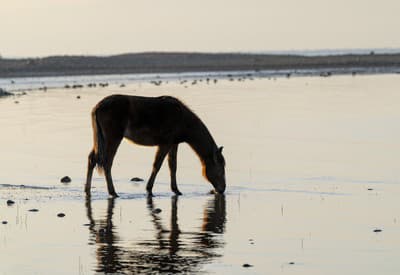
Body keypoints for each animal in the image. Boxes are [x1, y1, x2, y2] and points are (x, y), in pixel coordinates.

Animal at [85, 94, 227, 197]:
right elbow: (157, 165)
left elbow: (173, 166)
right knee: (107, 162)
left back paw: (87, 190)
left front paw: (176, 190)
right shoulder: (165, 143)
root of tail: (97, 107)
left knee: (92, 159)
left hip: (102, 140)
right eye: (221, 168)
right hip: (113, 138)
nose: (222, 189)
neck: (183, 119)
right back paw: (113, 192)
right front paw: (149, 189)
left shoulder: (173, 143)